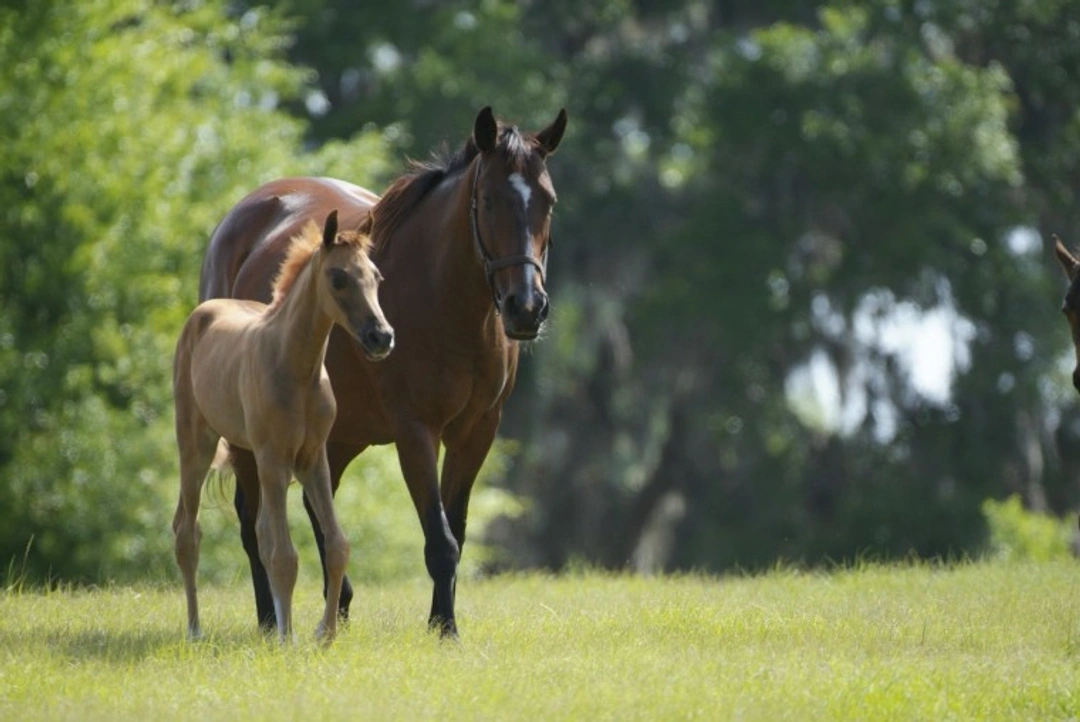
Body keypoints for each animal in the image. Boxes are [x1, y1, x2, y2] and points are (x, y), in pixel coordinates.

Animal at [173, 211, 394, 643]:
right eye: (338, 278)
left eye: (377, 276)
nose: (381, 337)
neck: (295, 367)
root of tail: (202, 313)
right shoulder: (274, 458)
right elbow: (285, 555)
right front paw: (288, 638)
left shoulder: (314, 458)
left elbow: (336, 545)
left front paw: (324, 633)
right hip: (197, 445)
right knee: (187, 532)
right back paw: (193, 629)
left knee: (256, 532)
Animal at [199, 106, 567, 637]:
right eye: (488, 200)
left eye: (548, 202)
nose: (526, 307)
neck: (444, 300)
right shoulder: (414, 431)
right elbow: (439, 539)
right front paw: (446, 629)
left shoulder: (477, 431)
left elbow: (454, 530)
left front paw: (440, 622)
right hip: (256, 432)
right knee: (253, 521)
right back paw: (270, 621)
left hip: (339, 434)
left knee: (317, 508)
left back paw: (340, 606)